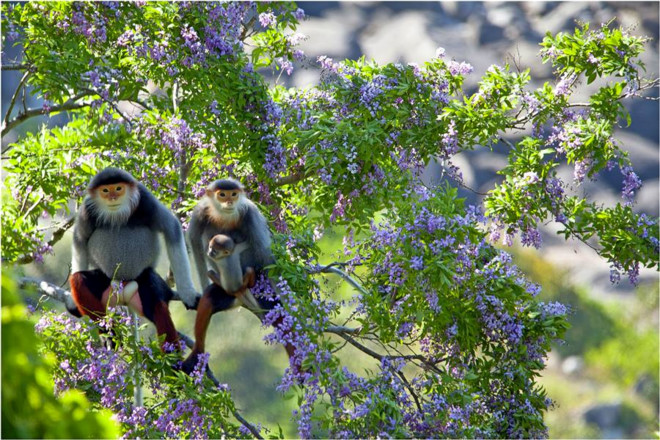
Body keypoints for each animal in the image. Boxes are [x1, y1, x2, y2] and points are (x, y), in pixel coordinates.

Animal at [69, 167, 201, 348]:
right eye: (105, 190)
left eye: (118, 188)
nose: (113, 198)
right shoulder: (86, 211)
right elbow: (79, 240)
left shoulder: (146, 199)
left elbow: (172, 228)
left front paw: (187, 292)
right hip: (106, 285)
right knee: (78, 280)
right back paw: (110, 334)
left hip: (142, 280)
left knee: (154, 298)